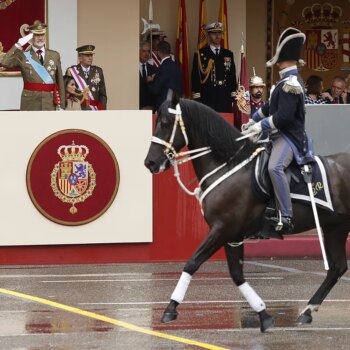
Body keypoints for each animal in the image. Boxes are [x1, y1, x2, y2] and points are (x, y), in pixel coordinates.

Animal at [144, 97, 348, 332]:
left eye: (165, 123)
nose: (150, 162)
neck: (227, 166)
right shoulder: (232, 236)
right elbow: (237, 275)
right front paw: (263, 314)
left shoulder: (223, 229)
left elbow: (192, 263)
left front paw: (170, 309)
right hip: (335, 227)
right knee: (337, 268)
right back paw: (307, 311)